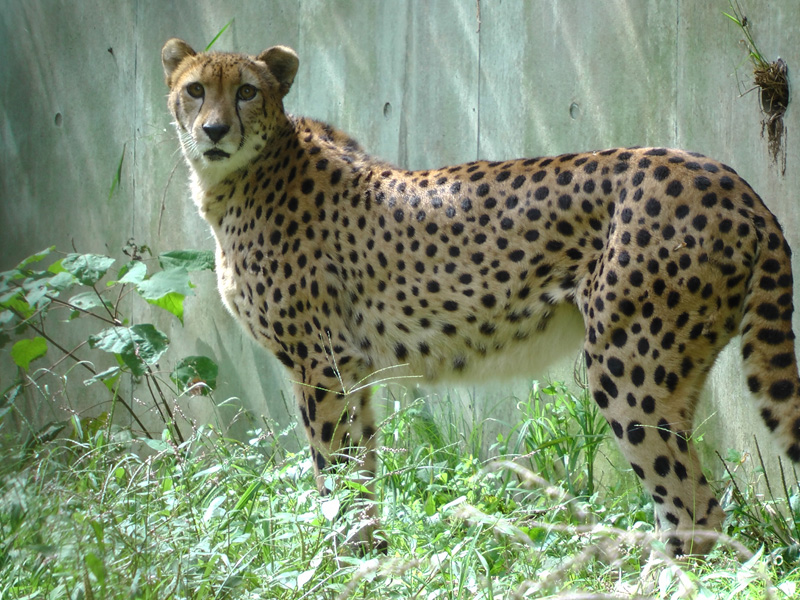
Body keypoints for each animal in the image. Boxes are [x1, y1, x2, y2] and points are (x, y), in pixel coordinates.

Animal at [161, 38, 800, 556]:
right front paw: (372, 559)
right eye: (195, 90)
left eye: (246, 91)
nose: (213, 131)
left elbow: (333, 474)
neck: (239, 176)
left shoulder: (320, 365)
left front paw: (339, 564)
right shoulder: (353, 368)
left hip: (630, 368)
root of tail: (732, 180)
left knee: (694, 505)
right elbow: (361, 472)